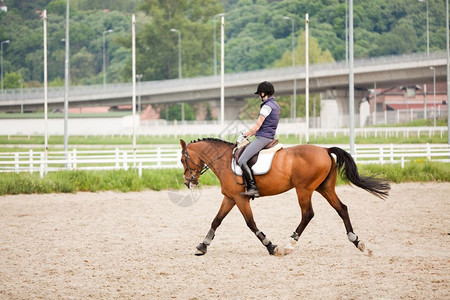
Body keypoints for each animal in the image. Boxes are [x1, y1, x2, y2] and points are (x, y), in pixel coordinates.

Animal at [179, 138, 390, 255]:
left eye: (182, 160)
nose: (188, 182)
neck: (224, 161)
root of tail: (324, 149)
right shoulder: (230, 198)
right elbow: (216, 220)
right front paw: (203, 246)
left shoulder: (240, 199)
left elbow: (251, 223)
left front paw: (271, 246)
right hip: (325, 188)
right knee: (342, 208)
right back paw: (358, 242)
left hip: (304, 189)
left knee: (308, 214)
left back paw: (289, 245)